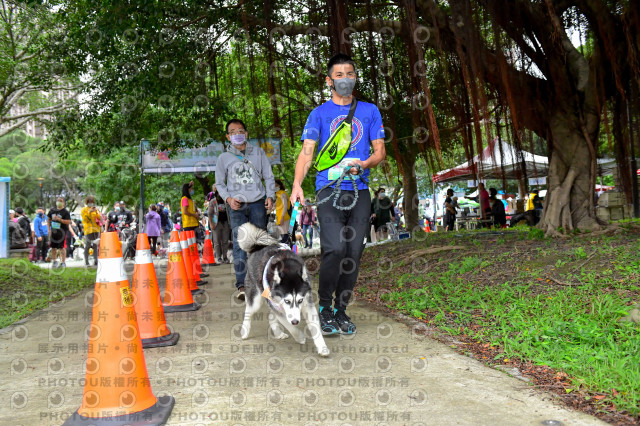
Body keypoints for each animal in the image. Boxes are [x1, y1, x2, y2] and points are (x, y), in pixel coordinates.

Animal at [239, 221, 330, 358]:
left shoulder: (307, 303)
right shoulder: (279, 306)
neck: (288, 269)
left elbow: (314, 327)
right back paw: (244, 331)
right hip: (256, 300)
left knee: (271, 316)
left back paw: (277, 333)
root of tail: (257, 247)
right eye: (287, 301)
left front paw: (322, 347)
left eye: (300, 300)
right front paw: (299, 336)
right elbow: (288, 324)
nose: (296, 321)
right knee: (249, 312)